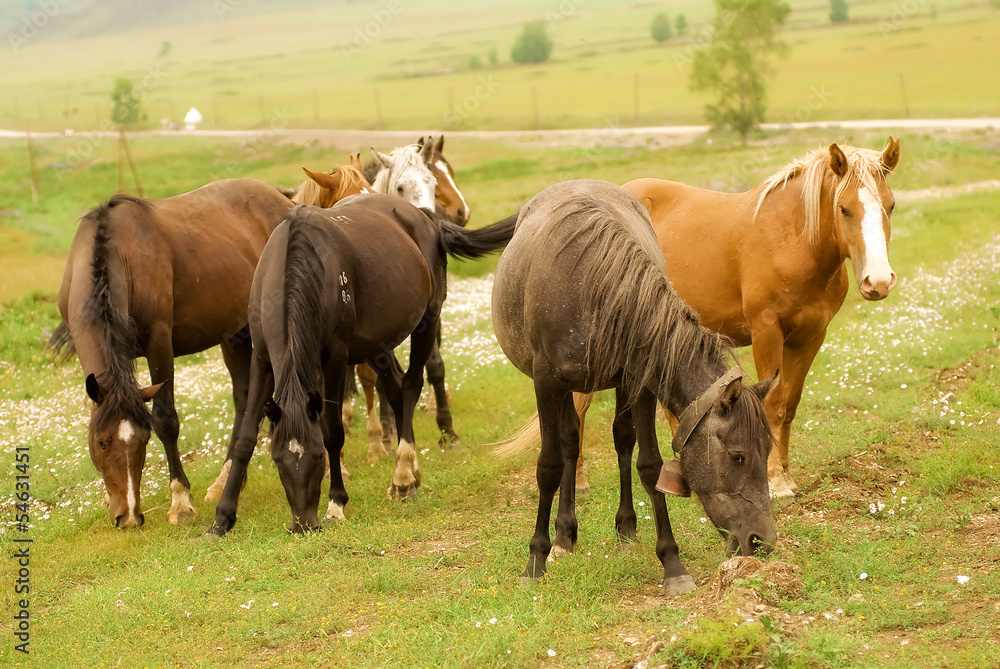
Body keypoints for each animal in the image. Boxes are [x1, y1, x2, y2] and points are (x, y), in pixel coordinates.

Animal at [50, 178, 294, 527]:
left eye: (144, 438)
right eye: (101, 442)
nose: (129, 517)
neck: (119, 255)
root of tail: (283, 200)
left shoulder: (159, 343)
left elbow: (166, 420)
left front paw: (180, 499)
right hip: (235, 332)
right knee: (245, 398)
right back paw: (224, 480)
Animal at [207, 194, 517, 535]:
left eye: (318, 457)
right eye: (277, 459)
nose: (303, 525)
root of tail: (423, 216)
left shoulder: (335, 358)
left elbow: (332, 430)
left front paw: (336, 503)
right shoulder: (262, 359)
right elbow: (246, 437)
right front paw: (222, 518)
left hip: (428, 320)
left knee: (410, 386)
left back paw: (403, 475)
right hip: (376, 345)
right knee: (395, 390)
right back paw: (410, 474)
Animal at [491, 179, 778, 595]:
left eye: (767, 451)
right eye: (738, 456)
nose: (763, 541)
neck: (595, 289)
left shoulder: (639, 383)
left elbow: (649, 465)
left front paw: (672, 564)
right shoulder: (546, 382)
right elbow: (548, 466)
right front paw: (535, 560)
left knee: (619, 441)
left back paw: (623, 529)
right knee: (569, 444)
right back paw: (562, 538)